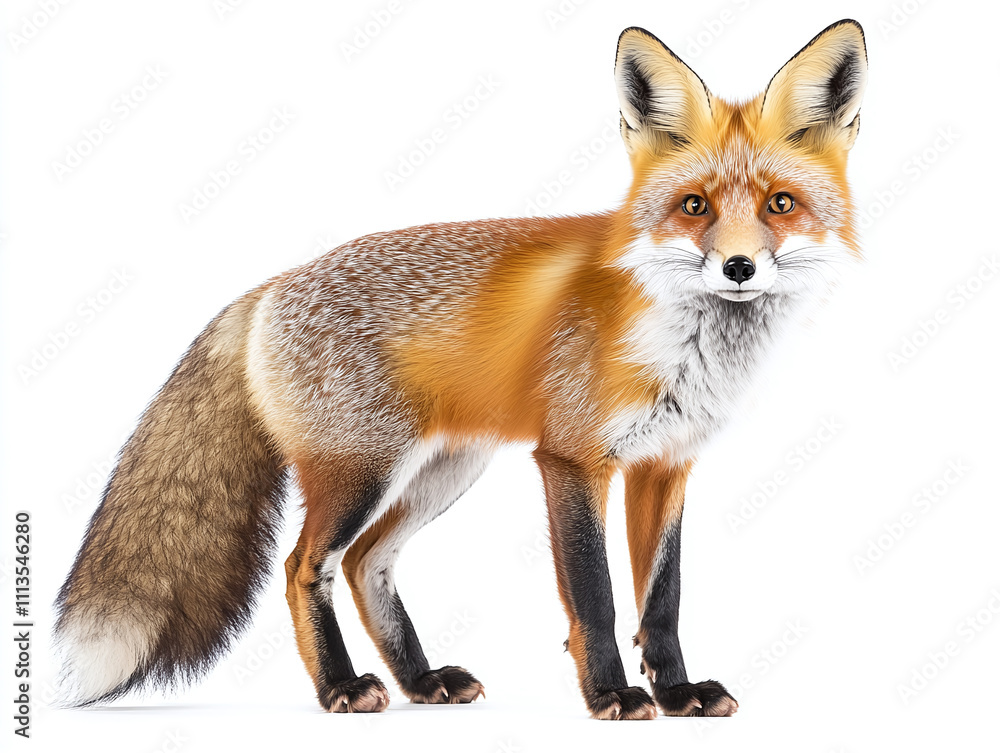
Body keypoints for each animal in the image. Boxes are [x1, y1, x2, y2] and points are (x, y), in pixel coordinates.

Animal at [55, 20, 867, 719]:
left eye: (780, 204)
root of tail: (272, 286)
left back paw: (419, 681)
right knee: (303, 567)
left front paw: (676, 693)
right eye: (695, 206)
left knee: (366, 564)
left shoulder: (666, 465)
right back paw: (341, 686)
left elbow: (661, 602)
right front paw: (612, 696)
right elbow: (598, 598)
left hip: (444, 472)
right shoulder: (572, 458)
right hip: (361, 469)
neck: (683, 345)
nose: (738, 267)